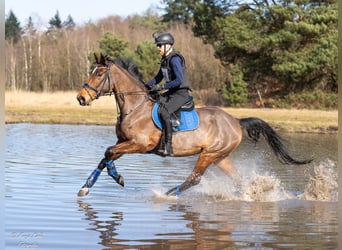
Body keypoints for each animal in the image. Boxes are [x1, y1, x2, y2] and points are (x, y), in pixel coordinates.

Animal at [76, 53, 312, 196]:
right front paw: (88, 187)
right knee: (237, 179)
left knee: (195, 178)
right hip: (220, 157)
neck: (135, 107)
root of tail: (235, 121)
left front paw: (115, 179)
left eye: (99, 73)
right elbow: (106, 156)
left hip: (208, 154)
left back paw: (169, 194)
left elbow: (108, 152)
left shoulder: (140, 144)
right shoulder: (123, 142)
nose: (81, 98)